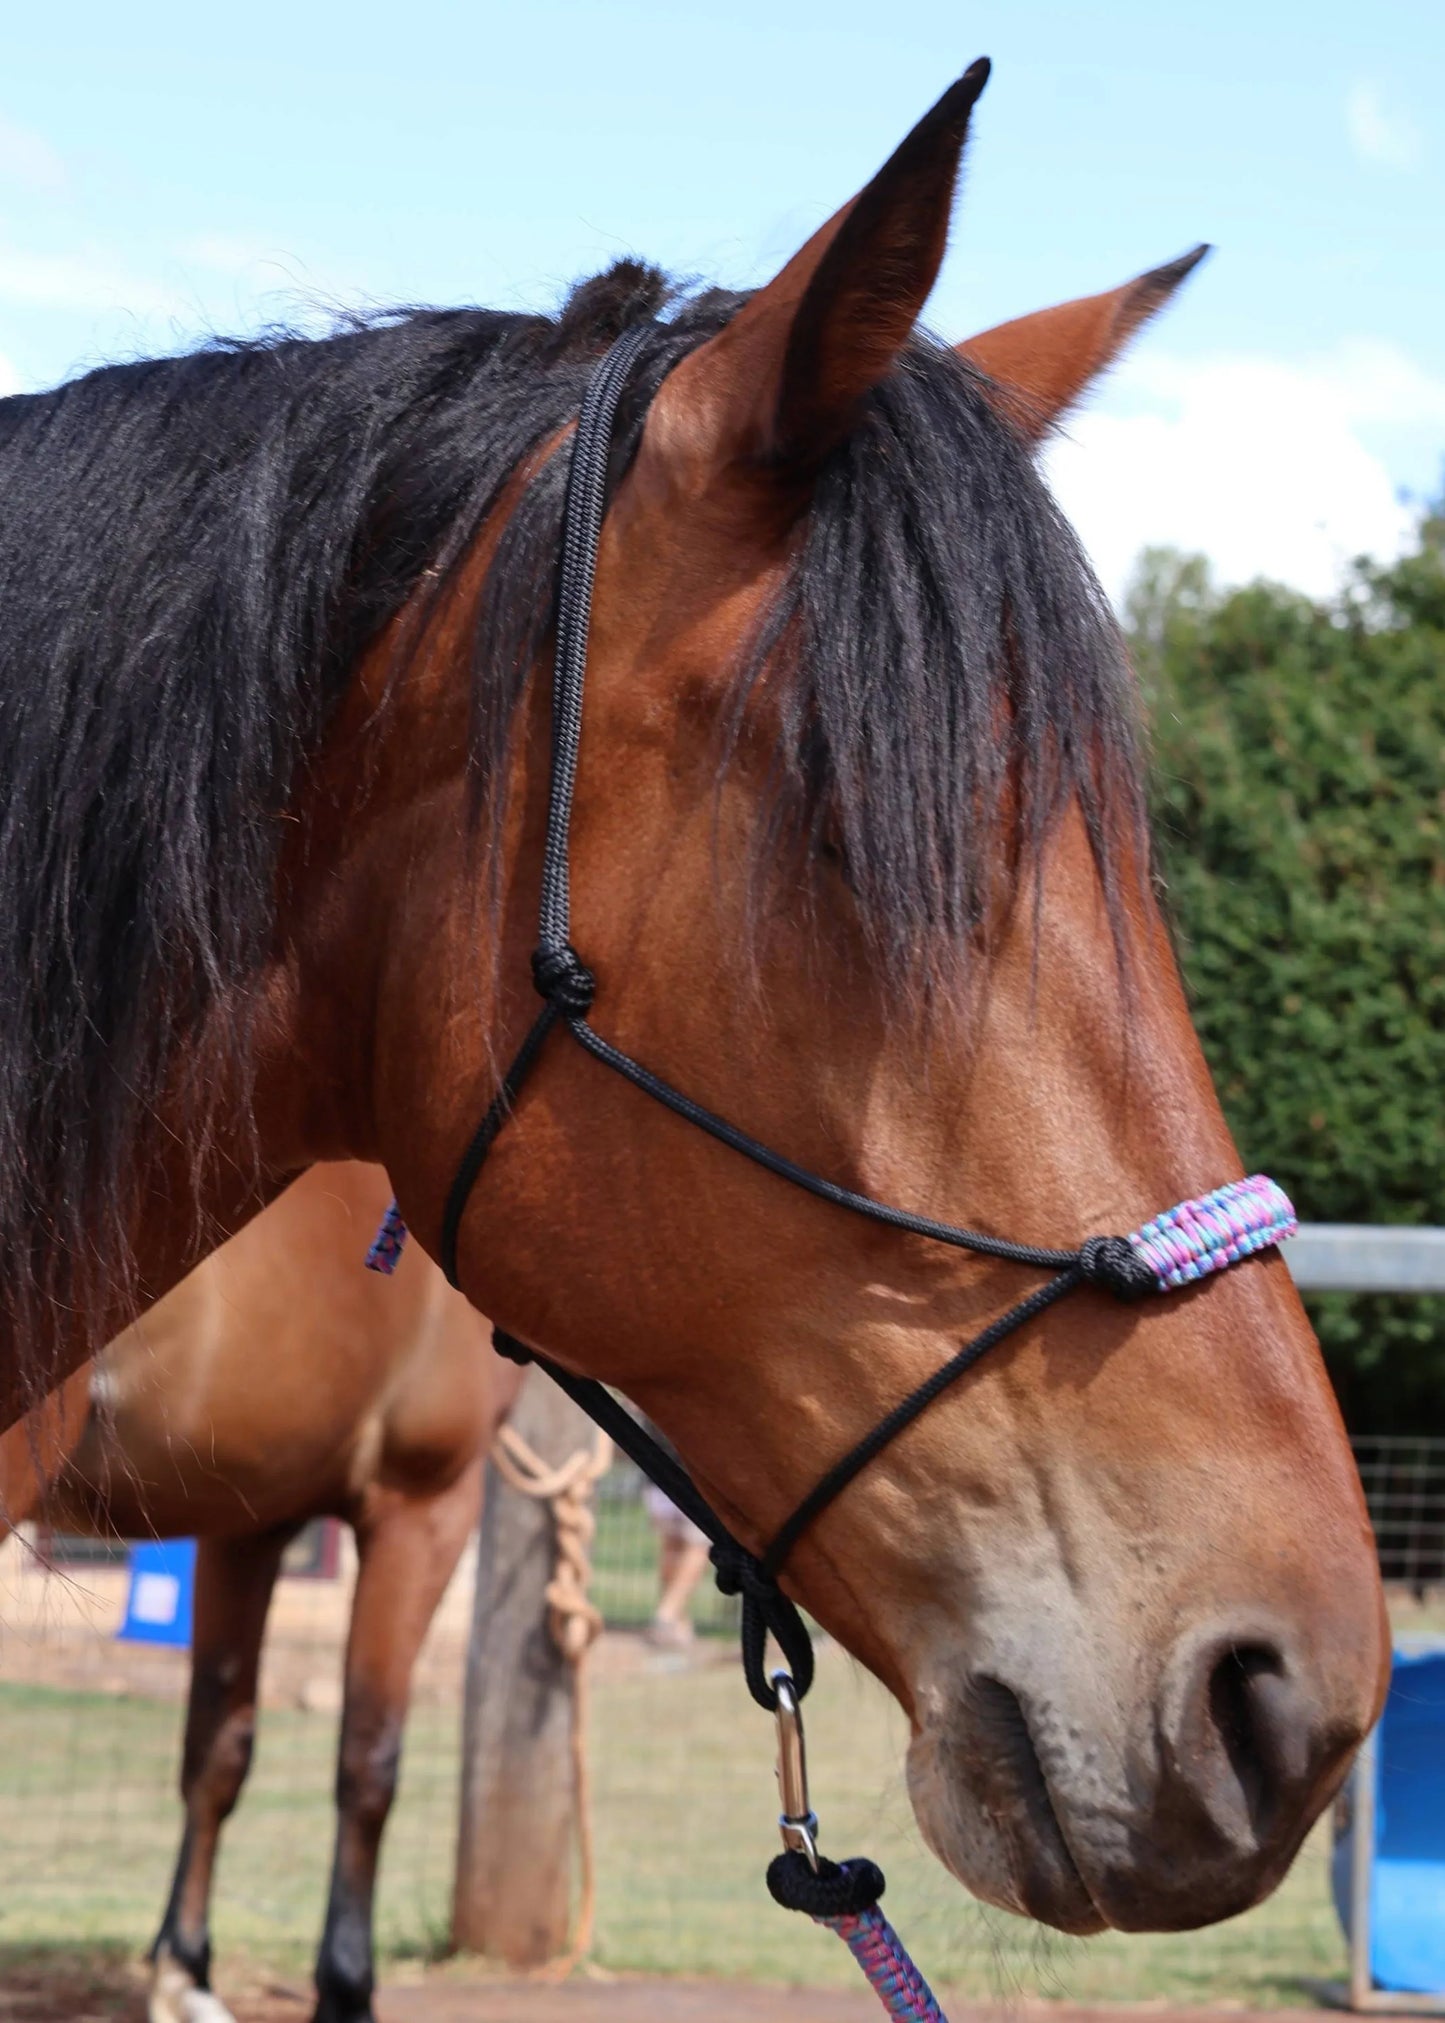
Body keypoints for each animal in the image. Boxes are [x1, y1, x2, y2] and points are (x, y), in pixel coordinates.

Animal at [1, 1163, 520, 2023]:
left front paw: (183, 1968)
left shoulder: (246, 1523)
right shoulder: (423, 1507)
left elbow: (217, 1749)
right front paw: (346, 1986)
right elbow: (368, 1760)